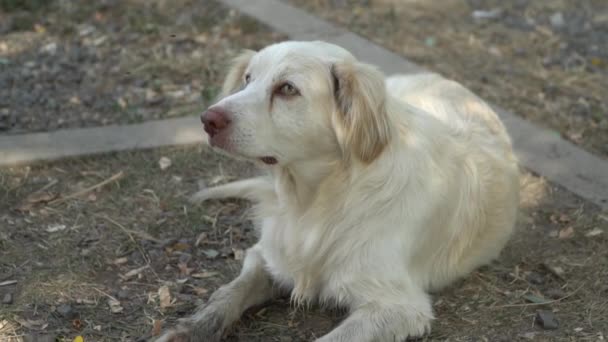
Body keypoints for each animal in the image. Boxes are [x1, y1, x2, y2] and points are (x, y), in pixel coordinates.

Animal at [156, 40, 516, 342]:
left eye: (287, 89)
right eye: (247, 79)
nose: (207, 119)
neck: (316, 201)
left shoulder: (399, 306)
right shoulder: (268, 256)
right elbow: (226, 295)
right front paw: (187, 330)